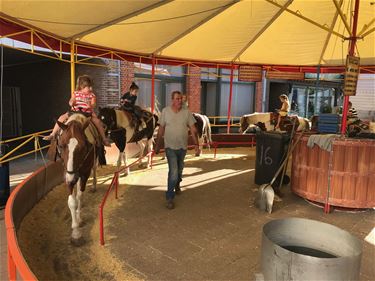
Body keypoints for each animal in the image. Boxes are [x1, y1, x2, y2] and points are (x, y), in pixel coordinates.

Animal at [55, 112, 100, 244]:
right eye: (61, 145)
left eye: (83, 147)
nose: (72, 178)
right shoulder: (67, 174)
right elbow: (72, 201)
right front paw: (75, 231)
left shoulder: (84, 173)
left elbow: (80, 196)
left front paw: (78, 221)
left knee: (94, 170)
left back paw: (93, 186)